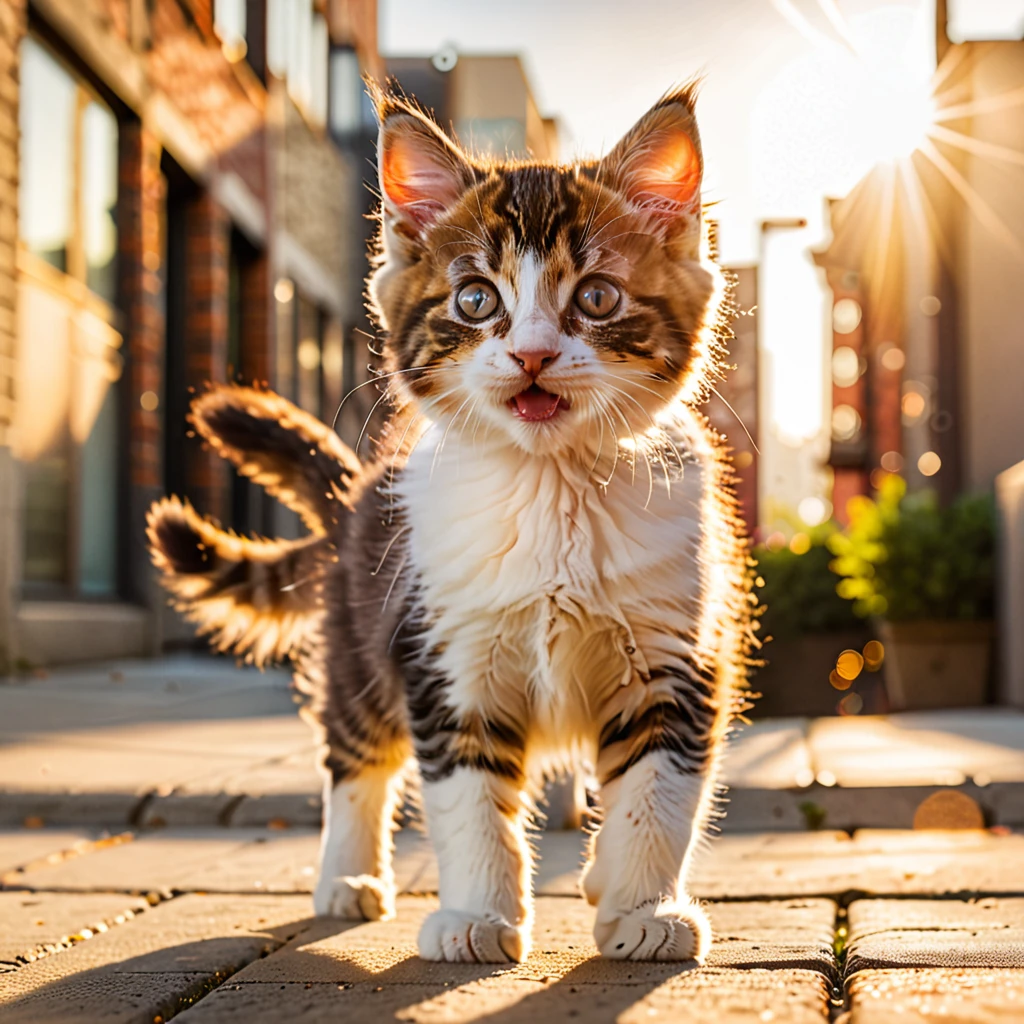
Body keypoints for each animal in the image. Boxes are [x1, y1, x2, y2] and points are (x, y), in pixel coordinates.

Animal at [146, 83, 753, 962]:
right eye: (476, 300)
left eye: (596, 297)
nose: (533, 354)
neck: (548, 489)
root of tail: (359, 492)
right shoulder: (443, 654)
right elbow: (469, 800)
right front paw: (477, 916)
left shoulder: (678, 648)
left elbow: (657, 792)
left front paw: (643, 907)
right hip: (361, 643)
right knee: (354, 758)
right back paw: (348, 878)